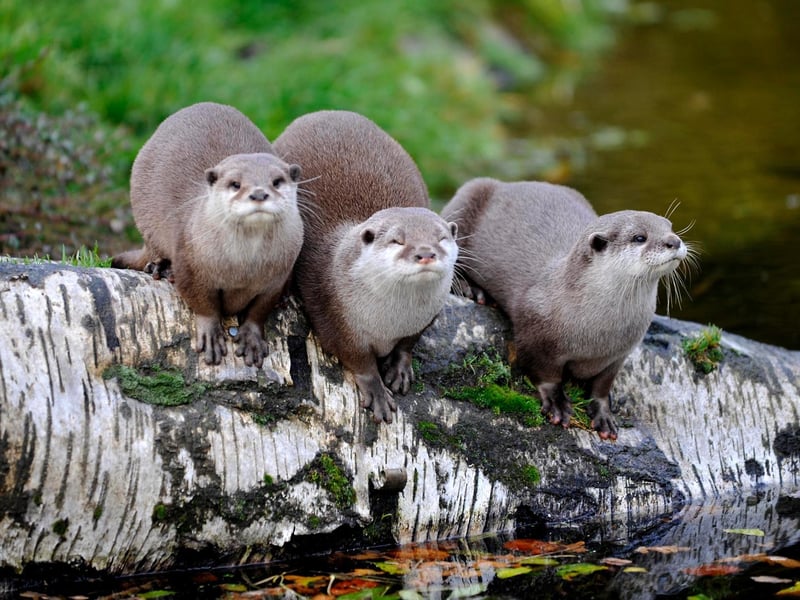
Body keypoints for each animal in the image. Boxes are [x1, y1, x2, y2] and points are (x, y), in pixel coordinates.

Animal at [111, 102, 303, 368]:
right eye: (235, 184)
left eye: (276, 181)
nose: (258, 193)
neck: (243, 268)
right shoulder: (190, 261)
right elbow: (202, 302)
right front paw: (211, 334)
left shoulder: (277, 276)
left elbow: (259, 309)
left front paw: (252, 338)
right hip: (145, 219)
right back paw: (161, 267)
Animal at [274, 110, 458, 424]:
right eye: (397, 240)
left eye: (441, 237)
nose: (425, 253)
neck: (391, 320)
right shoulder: (334, 316)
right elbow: (358, 359)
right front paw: (378, 393)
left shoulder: (425, 318)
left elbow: (408, 343)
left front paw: (399, 369)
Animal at [441, 178, 691, 440]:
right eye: (639, 237)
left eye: (670, 226)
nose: (674, 241)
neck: (599, 333)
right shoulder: (535, 332)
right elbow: (544, 372)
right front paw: (556, 403)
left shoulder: (618, 355)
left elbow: (602, 386)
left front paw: (604, 414)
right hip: (466, 200)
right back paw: (470, 289)